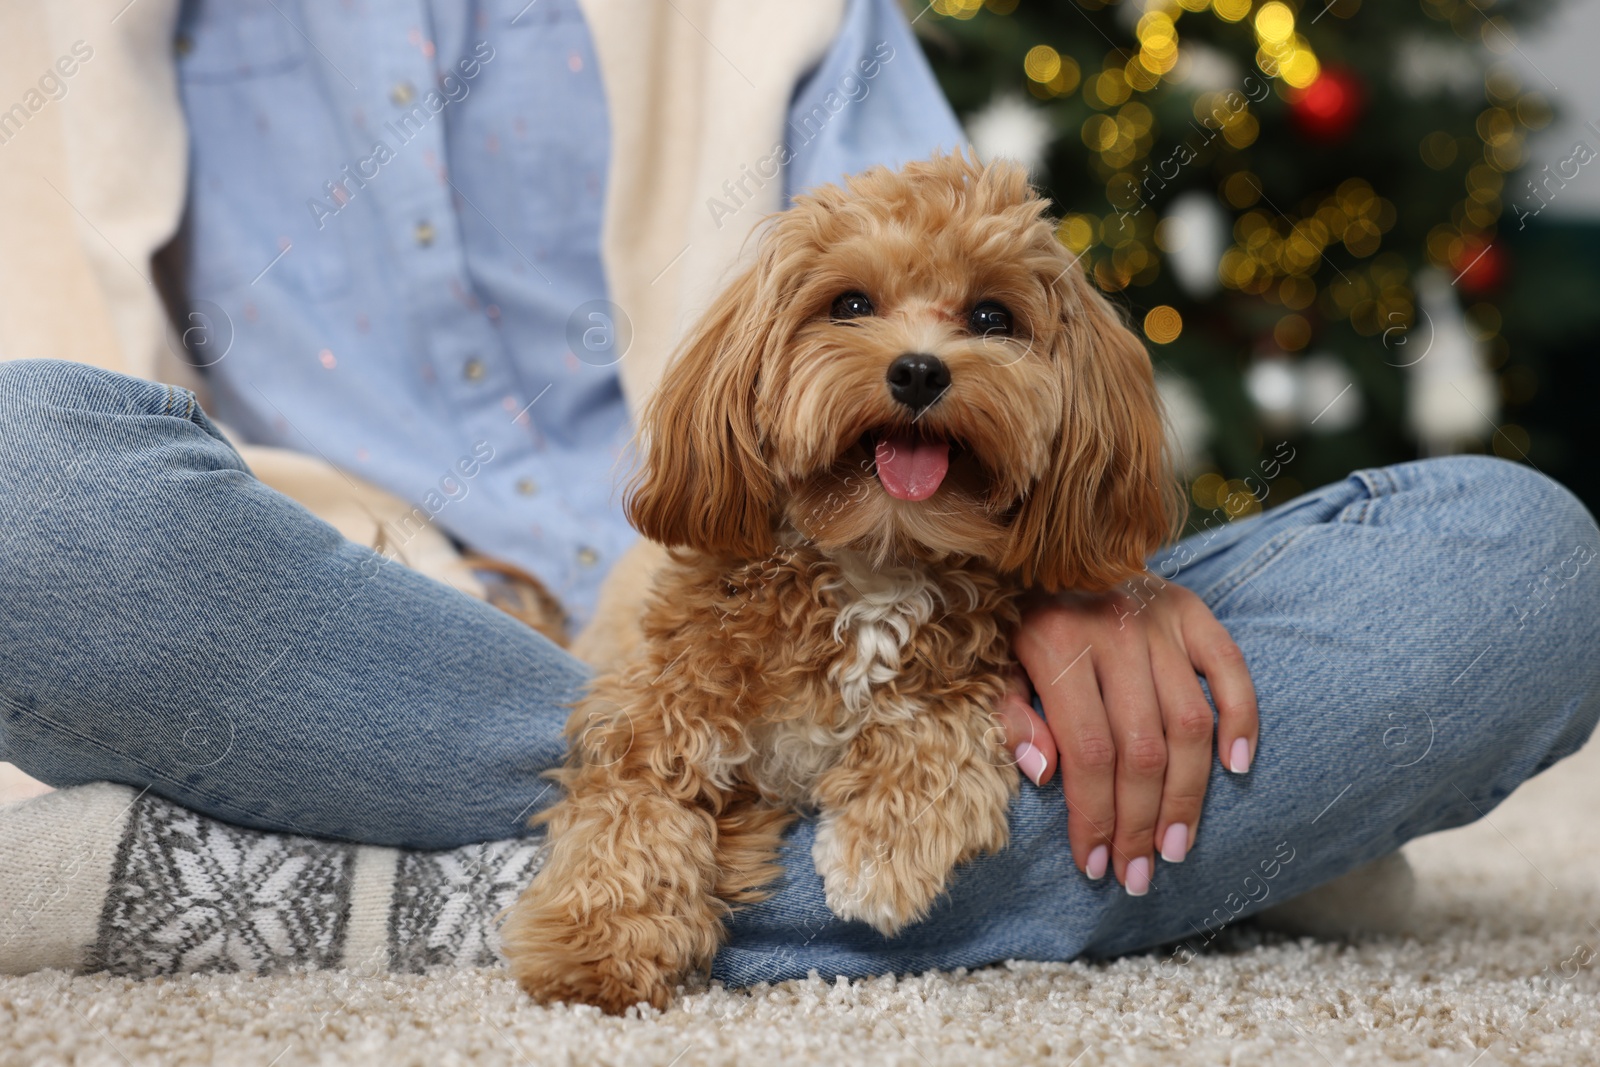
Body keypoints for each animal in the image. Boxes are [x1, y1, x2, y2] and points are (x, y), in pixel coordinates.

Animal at [505, 151, 1184, 1017]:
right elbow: (633, 809)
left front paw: (885, 851)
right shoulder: (650, 707)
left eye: (992, 317)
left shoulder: (961, 677)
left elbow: (932, 728)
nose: (919, 371)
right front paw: (595, 949)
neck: (875, 556)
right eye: (851, 304)